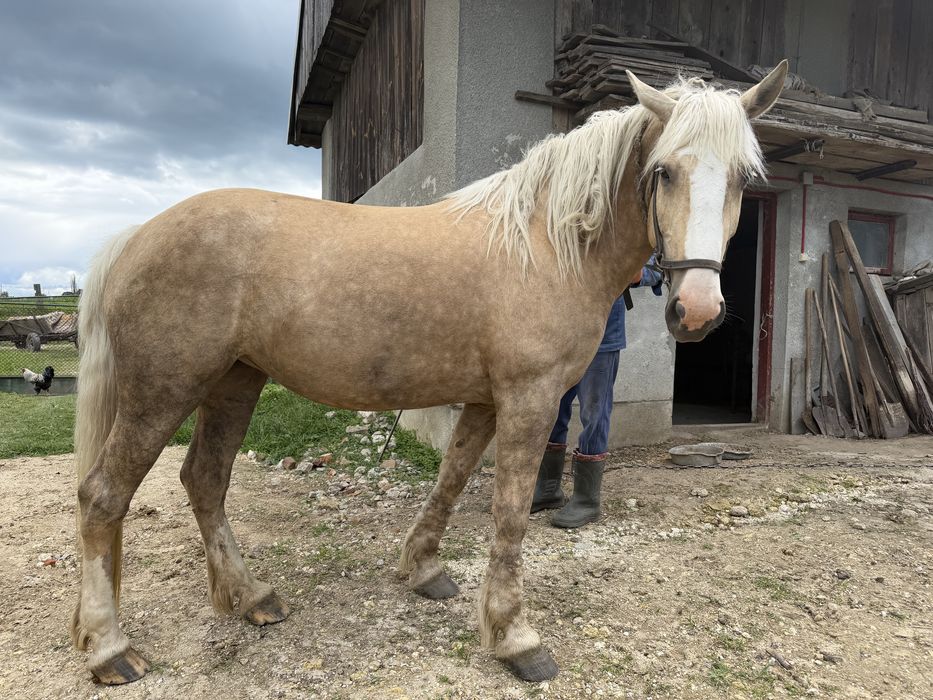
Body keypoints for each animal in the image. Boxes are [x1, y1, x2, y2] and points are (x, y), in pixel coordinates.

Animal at [71, 62, 787, 685]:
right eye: (663, 172)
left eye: (743, 179)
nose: (697, 310)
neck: (545, 244)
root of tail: (137, 235)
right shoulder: (529, 399)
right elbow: (509, 515)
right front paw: (514, 637)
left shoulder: (487, 401)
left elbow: (451, 478)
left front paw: (422, 570)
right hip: (163, 390)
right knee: (104, 496)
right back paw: (110, 648)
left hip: (234, 382)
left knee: (205, 481)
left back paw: (249, 597)